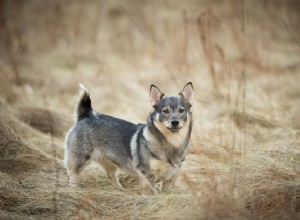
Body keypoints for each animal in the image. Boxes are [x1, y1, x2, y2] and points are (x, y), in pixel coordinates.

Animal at [64, 82, 193, 194]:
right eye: (165, 111)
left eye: (181, 110)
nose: (175, 122)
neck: (172, 142)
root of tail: (87, 114)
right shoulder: (146, 175)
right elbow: (152, 193)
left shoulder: (170, 179)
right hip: (80, 160)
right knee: (71, 174)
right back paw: (73, 191)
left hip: (109, 162)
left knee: (112, 176)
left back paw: (121, 190)